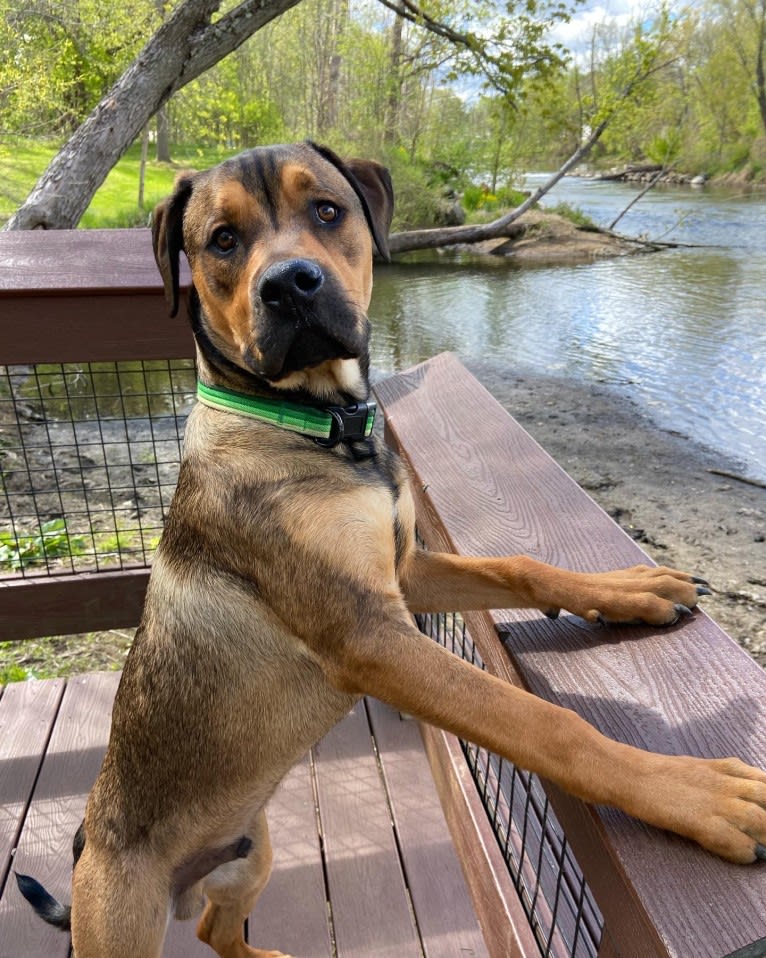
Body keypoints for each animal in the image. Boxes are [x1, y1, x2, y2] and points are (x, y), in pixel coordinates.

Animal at [16, 139, 766, 956]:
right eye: (222, 240)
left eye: (327, 210)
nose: (290, 286)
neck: (320, 426)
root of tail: (87, 846)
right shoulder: (368, 634)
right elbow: (544, 724)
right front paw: (694, 792)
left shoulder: (405, 570)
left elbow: (520, 566)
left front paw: (627, 590)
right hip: (124, 916)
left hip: (252, 852)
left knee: (220, 929)